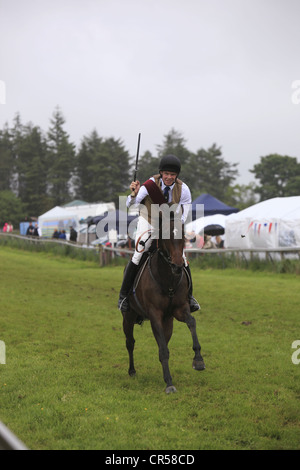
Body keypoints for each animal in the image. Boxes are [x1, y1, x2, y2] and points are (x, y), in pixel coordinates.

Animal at [121, 217, 204, 392]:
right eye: (166, 236)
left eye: (183, 236)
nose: (178, 266)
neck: (168, 279)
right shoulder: (155, 315)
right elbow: (162, 349)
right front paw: (169, 383)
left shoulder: (179, 309)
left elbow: (191, 322)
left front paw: (198, 360)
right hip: (128, 317)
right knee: (130, 342)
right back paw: (132, 371)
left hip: (168, 321)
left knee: (164, 340)